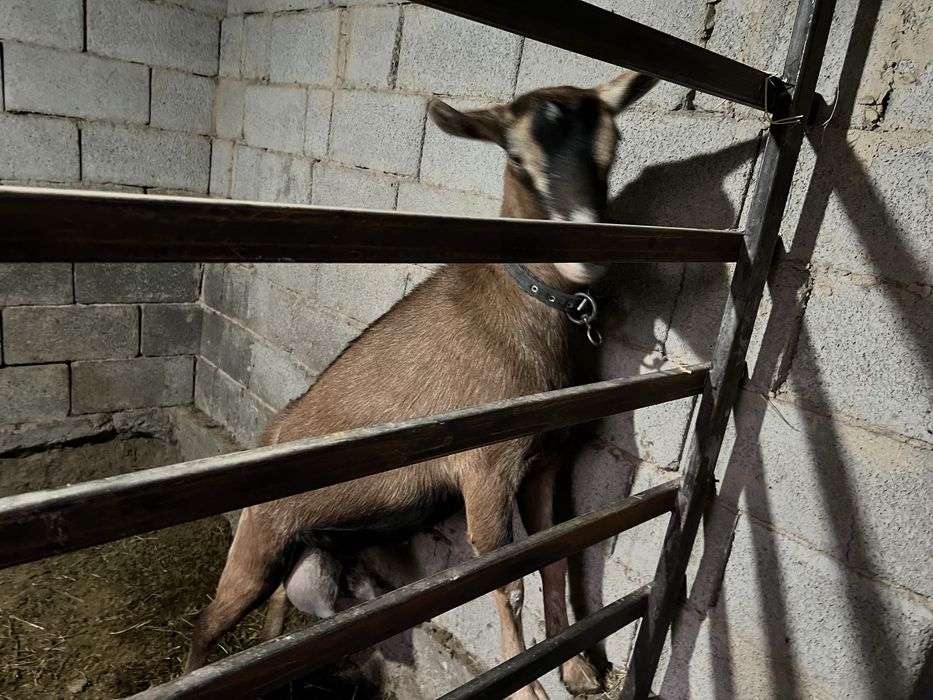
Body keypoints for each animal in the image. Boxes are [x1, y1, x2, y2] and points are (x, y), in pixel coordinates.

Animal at [185, 71, 658, 700]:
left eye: (613, 145)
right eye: (515, 156)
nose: (586, 259)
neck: (522, 304)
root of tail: (267, 435)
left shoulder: (546, 463)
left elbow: (554, 556)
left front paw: (577, 669)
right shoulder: (486, 467)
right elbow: (507, 582)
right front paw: (527, 686)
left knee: (277, 618)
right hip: (259, 540)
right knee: (208, 623)